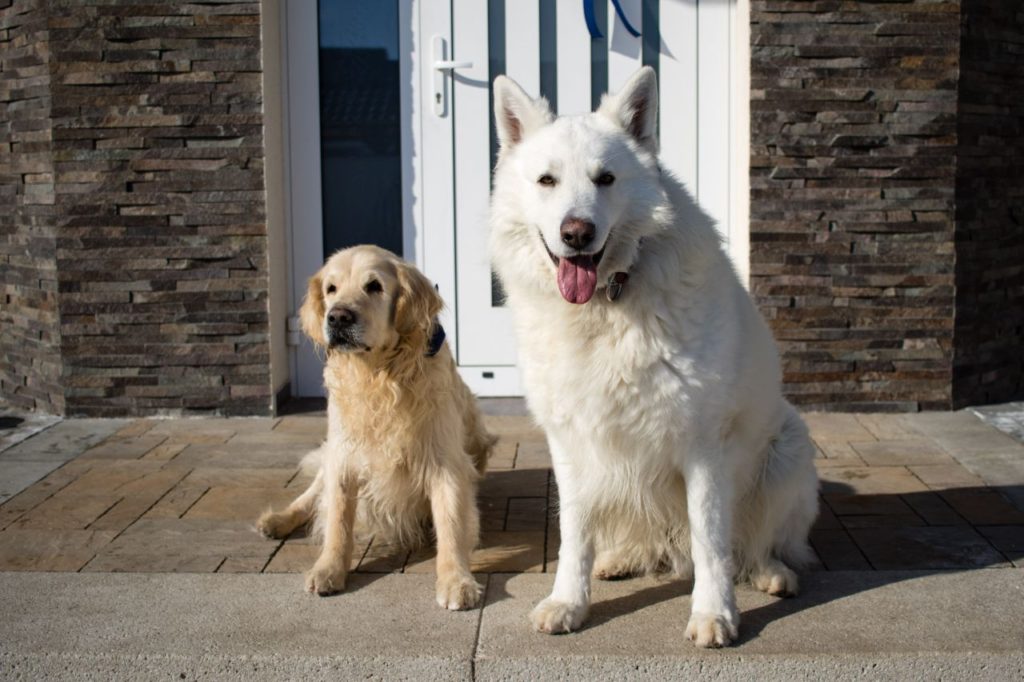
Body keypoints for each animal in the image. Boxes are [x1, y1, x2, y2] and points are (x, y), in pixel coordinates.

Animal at [491, 70, 819, 647]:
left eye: (605, 179)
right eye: (546, 181)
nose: (577, 233)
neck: (606, 304)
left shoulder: (704, 447)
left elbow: (711, 541)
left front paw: (714, 614)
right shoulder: (571, 445)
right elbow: (574, 536)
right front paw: (569, 602)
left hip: (788, 451)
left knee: (754, 544)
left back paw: (771, 574)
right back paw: (621, 559)